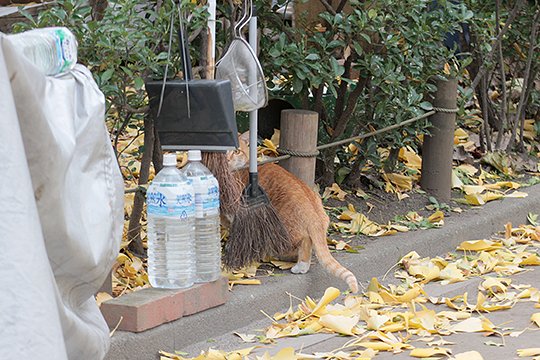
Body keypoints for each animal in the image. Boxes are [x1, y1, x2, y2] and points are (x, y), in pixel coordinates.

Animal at [228, 134, 358, 294]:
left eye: (236, 151)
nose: (227, 159)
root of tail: (313, 212)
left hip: (283, 231)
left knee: (303, 242)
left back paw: (298, 265)